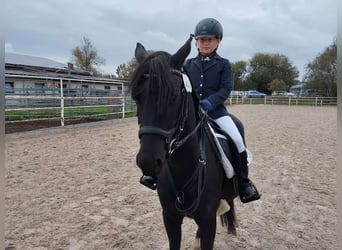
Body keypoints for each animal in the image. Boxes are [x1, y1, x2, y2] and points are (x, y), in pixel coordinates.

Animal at [130, 37, 244, 250]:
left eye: (174, 94)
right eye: (136, 97)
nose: (147, 161)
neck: (182, 168)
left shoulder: (208, 221)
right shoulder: (170, 218)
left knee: (231, 201)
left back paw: (232, 228)